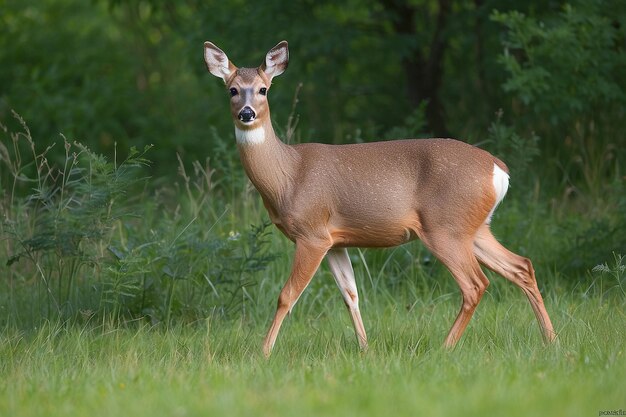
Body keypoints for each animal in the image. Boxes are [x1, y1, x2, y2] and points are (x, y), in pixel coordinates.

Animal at [202, 39, 552, 358]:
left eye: (263, 89)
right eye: (232, 90)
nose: (247, 113)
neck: (288, 176)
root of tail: (499, 170)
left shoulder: (312, 233)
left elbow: (287, 295)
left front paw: (263, 352)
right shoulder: (335, 240)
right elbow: (351, 295)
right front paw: (365, 348)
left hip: (445, 227)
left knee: (475, 284)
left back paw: (444, 347)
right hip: (474, 228)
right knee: (522, 266)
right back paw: (551, 340)